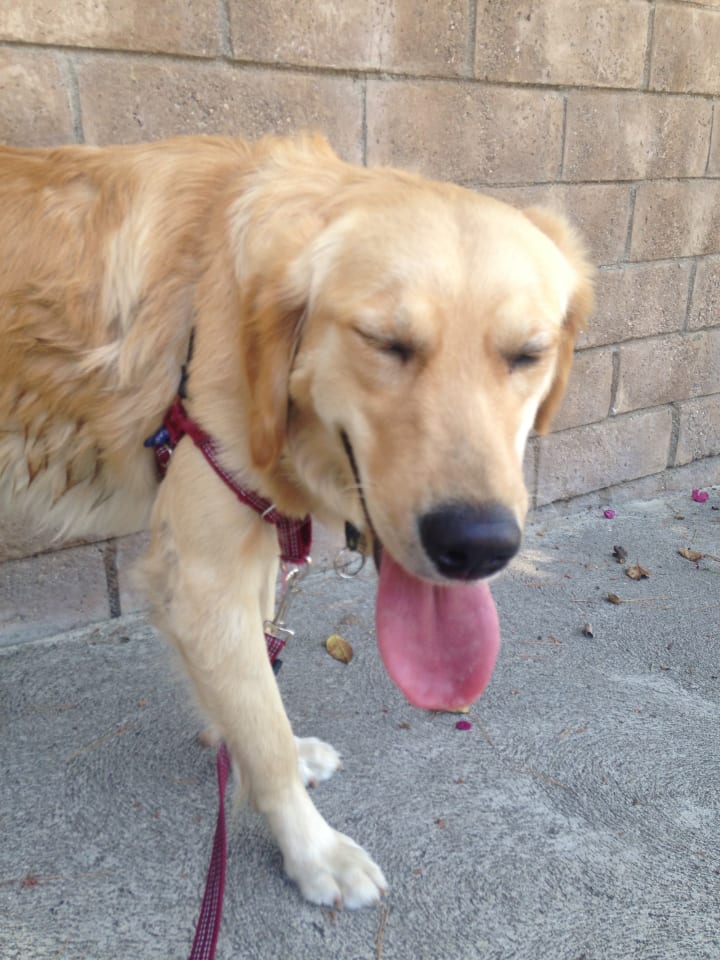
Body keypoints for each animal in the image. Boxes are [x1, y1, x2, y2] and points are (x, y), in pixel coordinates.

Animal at [0, 133, 593, 908]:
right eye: (384, 342)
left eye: (527, 354)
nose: (478, 547)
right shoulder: (201, 572)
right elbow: (265, 724)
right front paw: (312, 850)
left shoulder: (242, 551)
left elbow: (253, 681)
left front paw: (229, 742)